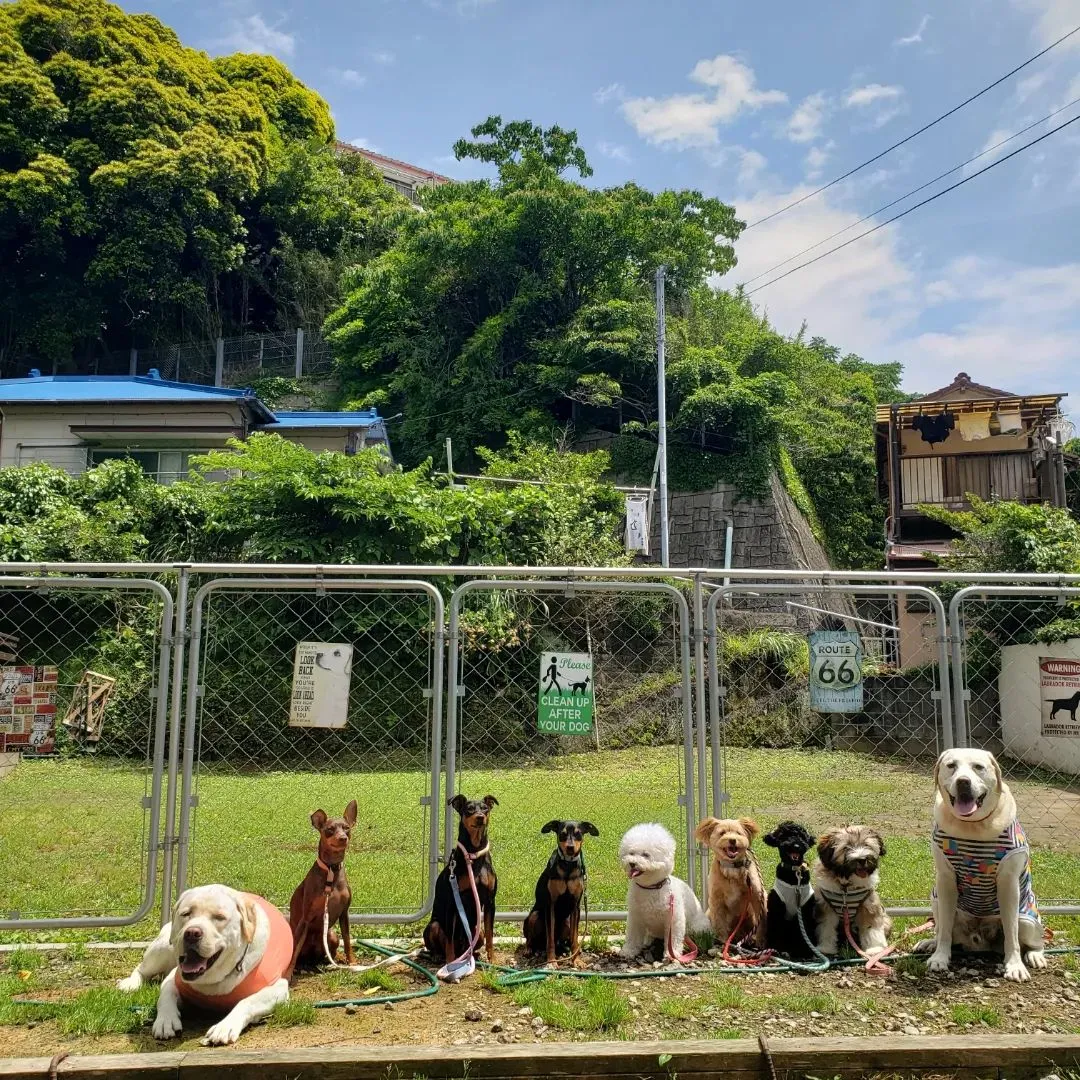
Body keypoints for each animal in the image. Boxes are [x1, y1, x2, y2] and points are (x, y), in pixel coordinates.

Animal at [425, 794, 501, 963]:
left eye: (485, 809)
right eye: (469, 809)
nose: (480, 817)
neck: (473, 853)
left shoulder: (490, 901)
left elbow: (490, 934)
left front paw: (492, 959)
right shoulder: (453, 901)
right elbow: (449, 939)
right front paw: (450, 962)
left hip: (477, 931)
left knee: (474, 942)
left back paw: (474, 955)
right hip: (433, 926)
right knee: (440, 944)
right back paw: (439, 956)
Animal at [522, 816, 600, 963]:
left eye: (578, 834)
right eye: (562, 834)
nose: (570, 848)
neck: (568, 864)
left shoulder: (576, 906)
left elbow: (575, 938)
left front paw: (576, 960)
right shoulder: (550, 905)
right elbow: (550, 940)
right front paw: (552, 961)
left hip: (567, 921)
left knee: (564, 940)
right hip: (534, 916)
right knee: (533, 939)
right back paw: (529, 949)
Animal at [695, 816, 764, 946]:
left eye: (738, 833)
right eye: (722, 833)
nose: (732, 840)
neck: (731, 867)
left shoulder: (757, 896)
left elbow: (762, 920)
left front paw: (762, 942)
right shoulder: (716, 900)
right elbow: (719, 922)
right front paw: (722, 940)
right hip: (709, 913)